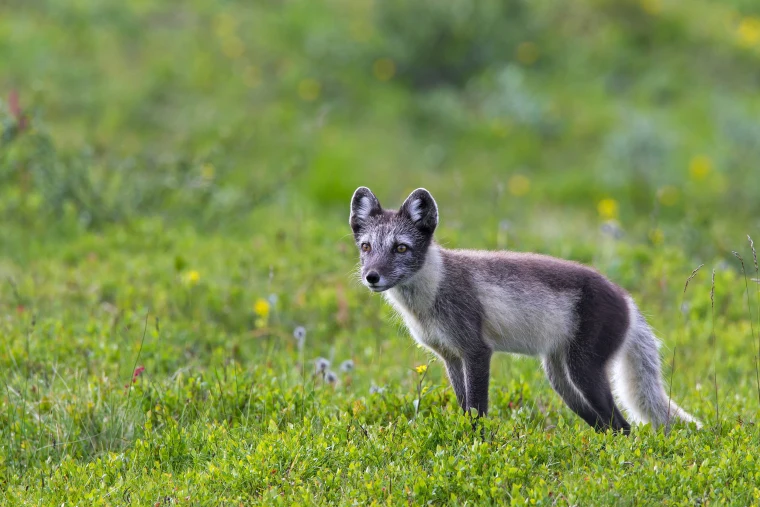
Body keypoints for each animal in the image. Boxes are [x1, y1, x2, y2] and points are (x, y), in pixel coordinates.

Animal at [350, 187, 700, 432]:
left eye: (401, 248)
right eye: (366, 247)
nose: (372, 277)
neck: (431, 294)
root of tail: (627, 299)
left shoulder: (477, 351)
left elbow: (478, 411)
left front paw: (477, 446)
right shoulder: (451, 356)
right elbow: (464, 408)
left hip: (583, 370)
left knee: (623, 426)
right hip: (562, 380)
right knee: (607, 426)